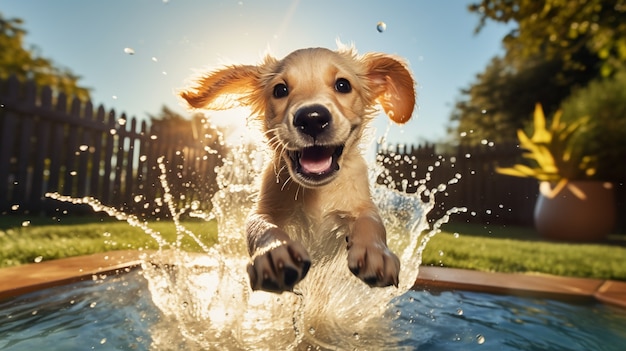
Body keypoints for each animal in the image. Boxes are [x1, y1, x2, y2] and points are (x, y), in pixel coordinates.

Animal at [180, 46, 414, 294]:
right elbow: (259, 226)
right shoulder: (264, 208)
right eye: (280, 90)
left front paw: (376, 252)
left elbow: (371, 221)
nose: (312, 118)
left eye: (343, 85)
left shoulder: (359, 204)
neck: (317, 192)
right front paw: (274, 252)